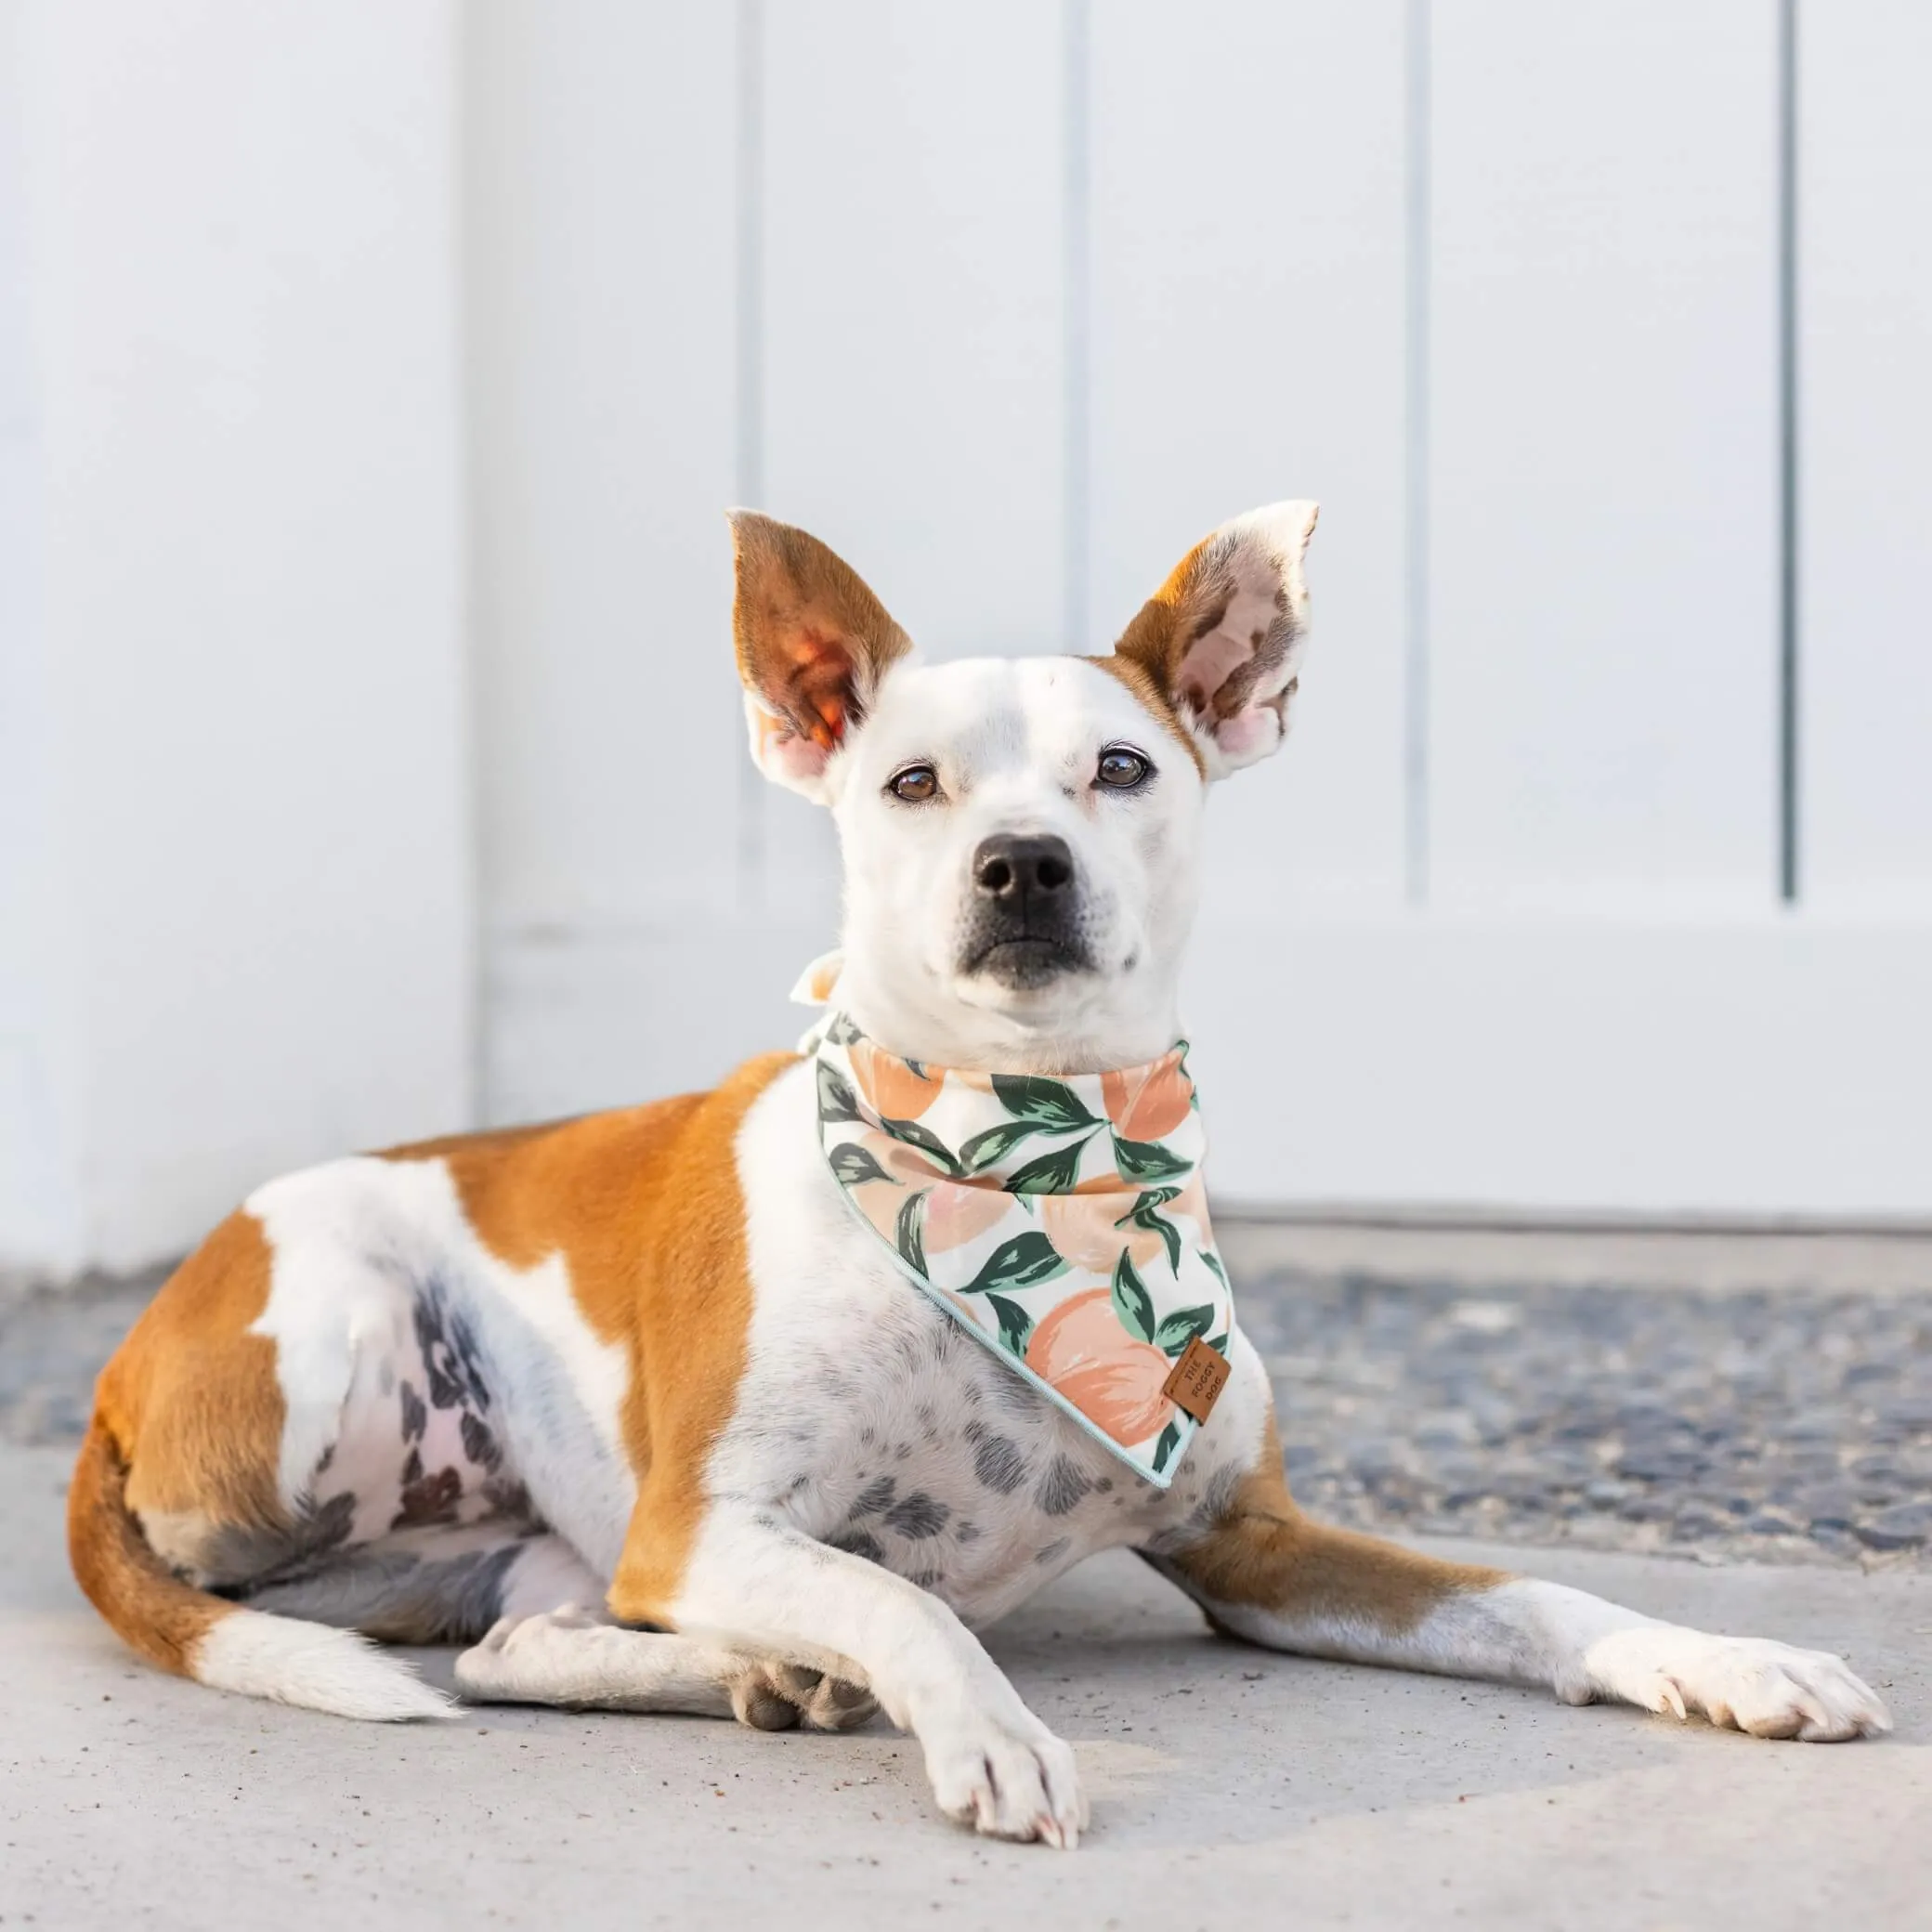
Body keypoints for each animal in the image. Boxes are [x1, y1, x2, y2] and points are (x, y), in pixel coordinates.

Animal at [71, 505, 1886, 1847]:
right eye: (912, 781)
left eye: (1122, 768)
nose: (1022, 863)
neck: (1029, 1153)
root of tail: (113, 1376)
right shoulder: (700, 1528)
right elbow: (901, 1601)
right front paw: (984, 1730)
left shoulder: (1259, 1547)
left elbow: (1538, 1599)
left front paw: (1729, 1660)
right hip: (345, 1331)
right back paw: (781, 1676)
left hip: (535, 1552)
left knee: (521, 1646)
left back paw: (757, 1682)